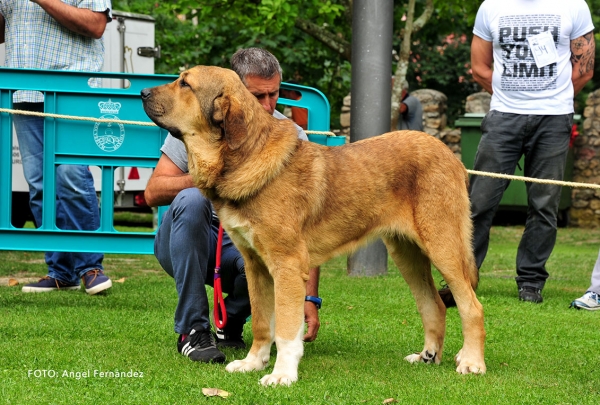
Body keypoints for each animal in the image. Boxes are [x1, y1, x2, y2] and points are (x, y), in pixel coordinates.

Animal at [142, 64, 488, 384]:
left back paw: (471, 362)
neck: (242, 155)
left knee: (471, 306)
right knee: (434, 305)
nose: (143, 93)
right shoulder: (255, 266)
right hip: (407, 254)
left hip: (443, 247)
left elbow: (285, 328)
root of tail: (450, 155)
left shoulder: (286, 265)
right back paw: (428, 355)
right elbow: (262, 323)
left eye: (185, 84)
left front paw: (282, 374)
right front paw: (253, 363)